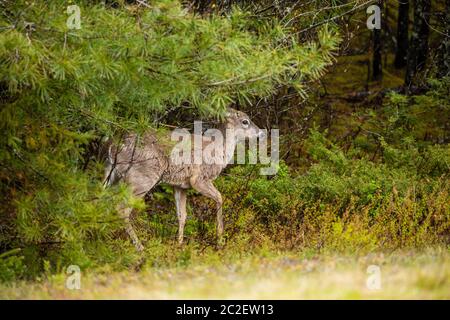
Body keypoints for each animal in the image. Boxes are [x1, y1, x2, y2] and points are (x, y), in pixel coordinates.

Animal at [103, 109, 266, 251]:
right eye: (245, 121)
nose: (262, 133)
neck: (218, 150)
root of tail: (114, 146)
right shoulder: (198, 179)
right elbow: (220, 198)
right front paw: (220, 242)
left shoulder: (180, 186)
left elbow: (182, 215)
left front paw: (179, 245)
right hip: (142, 177)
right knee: (122, 209)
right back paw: (140, 247)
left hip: (112, 175)